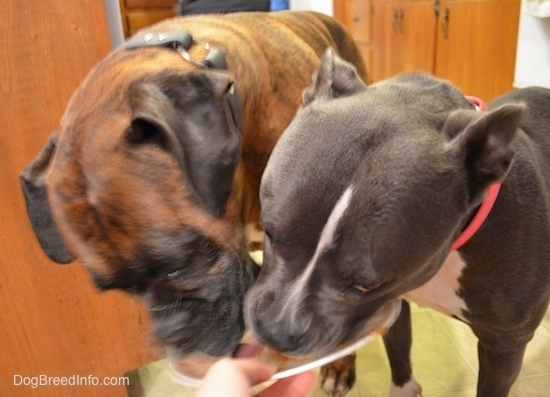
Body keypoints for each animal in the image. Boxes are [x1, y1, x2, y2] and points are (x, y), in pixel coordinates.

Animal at [248, 49, 550, 396]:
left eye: (366, 286)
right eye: (270, 232)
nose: (275, 330)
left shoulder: (505, 344)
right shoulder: (391, 305)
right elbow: (398, 348)